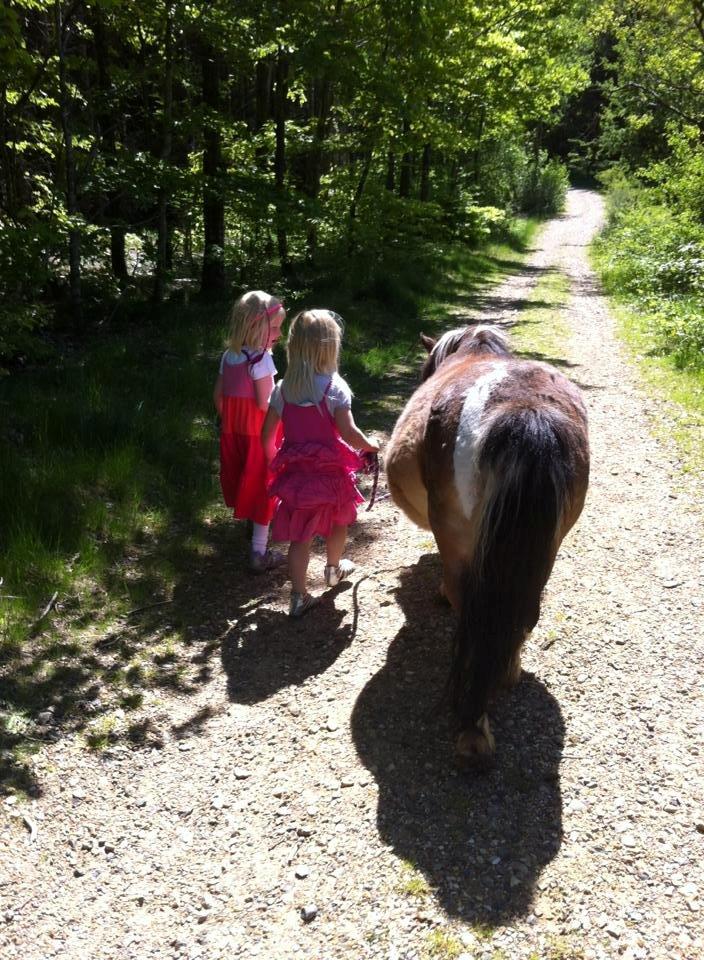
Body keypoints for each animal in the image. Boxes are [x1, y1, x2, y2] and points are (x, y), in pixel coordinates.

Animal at [385, 324, 589, 763]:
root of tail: (526, 411)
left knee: (474, 619)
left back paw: (473, 732)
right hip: (546, 547)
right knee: (521, 610)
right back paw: (507, 671)